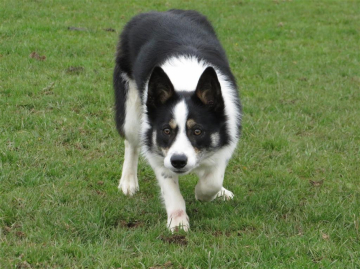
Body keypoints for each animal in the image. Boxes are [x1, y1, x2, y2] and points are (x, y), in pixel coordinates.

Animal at [114, 9, 240, 230]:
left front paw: (205, 193)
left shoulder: (227, 133)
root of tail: (159, 11)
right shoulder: (157, 150)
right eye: (166, 130)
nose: (178, 161)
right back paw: (128, 181)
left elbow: (213, 178)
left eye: (197, 131)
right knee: (131, 144)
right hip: (130, 111)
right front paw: (178, 222)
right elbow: (170, 187)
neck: (186, 83)